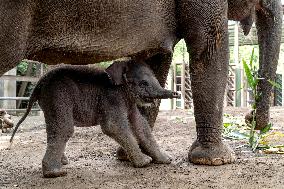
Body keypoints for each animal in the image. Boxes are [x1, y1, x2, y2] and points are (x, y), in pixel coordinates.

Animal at [11, 59, 180, 178]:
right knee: (64, 129)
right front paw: (145, 162)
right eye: (143, 83)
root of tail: (39, 82)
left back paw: (62, 163)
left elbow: (141, 125)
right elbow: (112, 126)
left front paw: (166, 160)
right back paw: (56, 173)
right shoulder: (112, 98)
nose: (176, 93)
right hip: (58, 96)